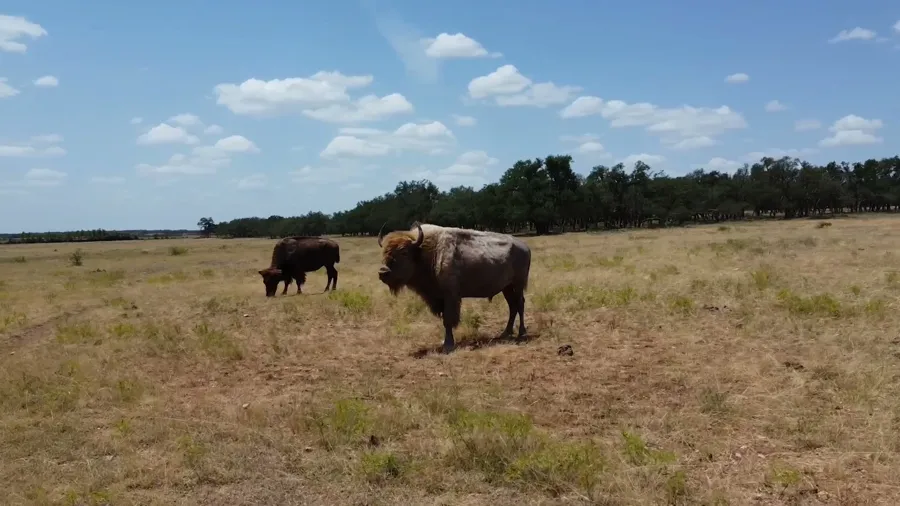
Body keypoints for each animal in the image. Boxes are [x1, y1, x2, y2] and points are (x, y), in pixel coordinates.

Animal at [377, 221, 531, 353]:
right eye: (384, 252)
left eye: (404, 252)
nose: (383, 272)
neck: (429, 252)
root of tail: (525, 247)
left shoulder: (450, 296)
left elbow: (448, 320)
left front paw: (448, 345)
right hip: (507, 288)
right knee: (513, 306)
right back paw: (506, 333)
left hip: (518, 285)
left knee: (520, 304)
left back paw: (521, 333)